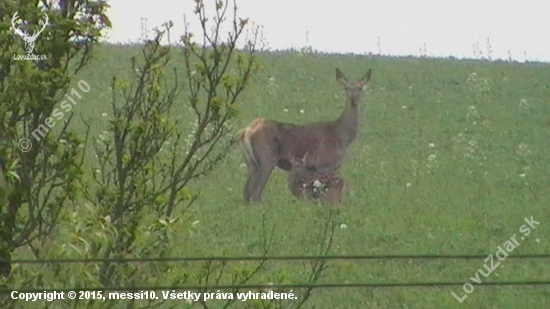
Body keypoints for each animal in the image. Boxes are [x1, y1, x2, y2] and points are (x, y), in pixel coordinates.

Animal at [239, 67, 374, 202]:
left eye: (360, 88)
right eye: (346, 88)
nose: (353, 99)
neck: (342, 135)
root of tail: (246, 130)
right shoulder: (323, 163)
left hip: (251, 162)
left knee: (247, 191)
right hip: (266, 158)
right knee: (255, 192)